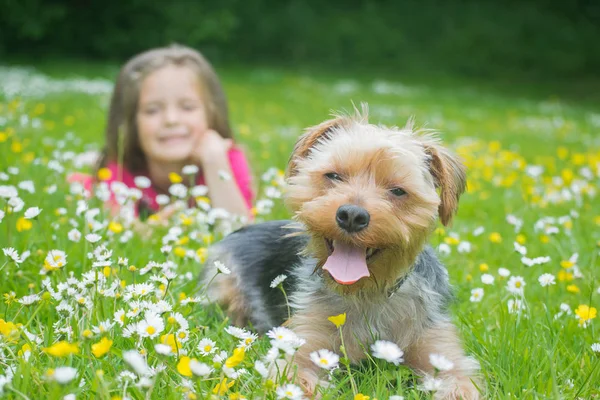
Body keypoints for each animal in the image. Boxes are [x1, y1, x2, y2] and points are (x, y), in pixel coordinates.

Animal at [204, 108, 480, 398]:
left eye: (397, 191)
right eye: (334, 176)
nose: (352, 215)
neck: (366, 293)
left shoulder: (441, 350)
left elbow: (459, 382)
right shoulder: (304, 346)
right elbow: (295, 376)